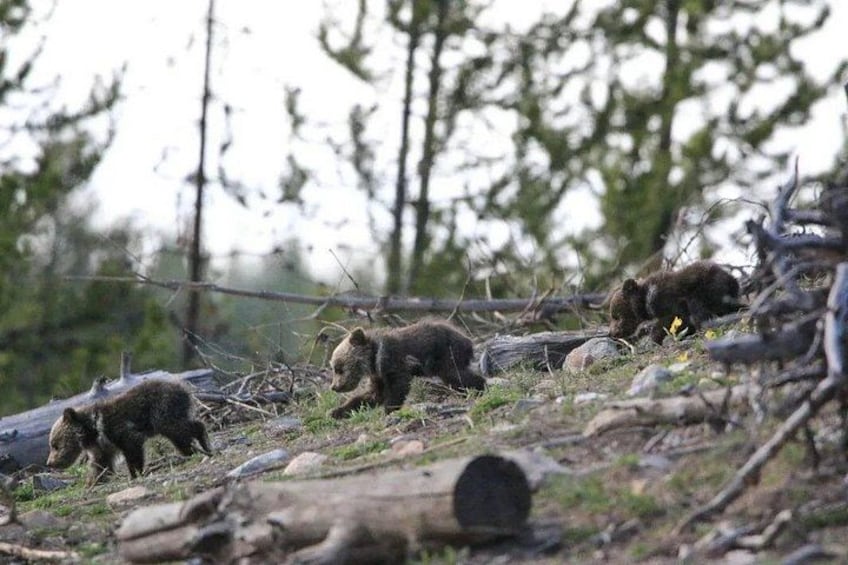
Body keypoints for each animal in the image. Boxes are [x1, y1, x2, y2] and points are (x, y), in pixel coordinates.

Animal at [46, 379, 212, 484]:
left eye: (55, 445)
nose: (50, 463)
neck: (93, 430)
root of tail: (185, 389)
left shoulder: (121, 431)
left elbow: (133, 451)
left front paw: (134, 474)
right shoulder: (102, 447)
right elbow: (100, 464)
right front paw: (94, 481)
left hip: (162, 412)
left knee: (180, 429)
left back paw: (198, 445)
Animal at [328, 319, 486, 419]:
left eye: (339, 368)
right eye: (334, 367)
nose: (334, 387)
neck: (374, 358)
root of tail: (468, 340)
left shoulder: (394, 361)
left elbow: (398, 387)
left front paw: (388, 410)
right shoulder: (378, 376)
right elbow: (371, 395)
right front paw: (336, 411)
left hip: (447, 353)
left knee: (456, 375)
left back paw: (479, 388)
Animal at [608, 260, 740, 344]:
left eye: (616, 316)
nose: (612, 333)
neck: (646, 301)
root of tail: (732, 281)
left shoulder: (671, 303)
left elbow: (672, 320)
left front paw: (656, 337)